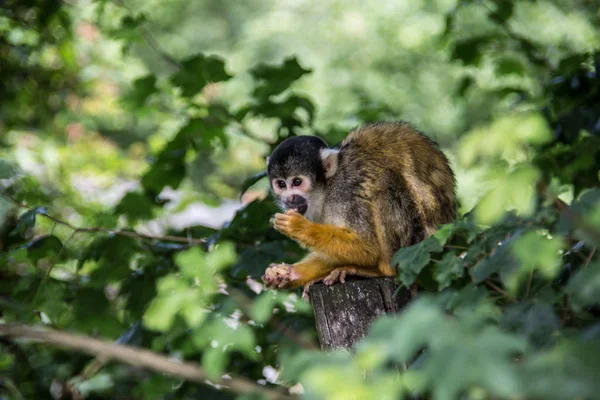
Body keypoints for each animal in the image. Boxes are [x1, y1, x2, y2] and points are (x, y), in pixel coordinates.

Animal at [262, 120, 454, 296]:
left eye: (297, 182)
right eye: (281, 184)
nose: (290, 199)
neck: (326, 191)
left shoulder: (347, 193)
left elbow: (368, 247)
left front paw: (299, 227)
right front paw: (289, 273)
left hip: (415, 244)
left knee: (386, 182)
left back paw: (382, 270)